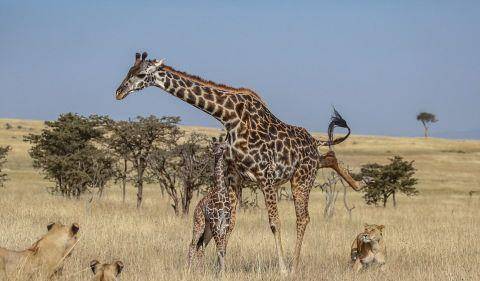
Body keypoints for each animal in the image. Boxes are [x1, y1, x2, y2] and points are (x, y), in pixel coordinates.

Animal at [115, 51, 364, 272]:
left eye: (140, 74)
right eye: (128, 71)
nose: (119, 92)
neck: (228, 117)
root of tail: (313, 142)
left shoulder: (265, 176)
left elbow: (274, 223)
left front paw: (282, 270)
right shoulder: (235, 176)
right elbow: (230, 224)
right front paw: (220, 267)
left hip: (301, 179)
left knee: (302, 218)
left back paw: (294, 266)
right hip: (305, 173)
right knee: (328, 160)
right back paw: (356, 183)